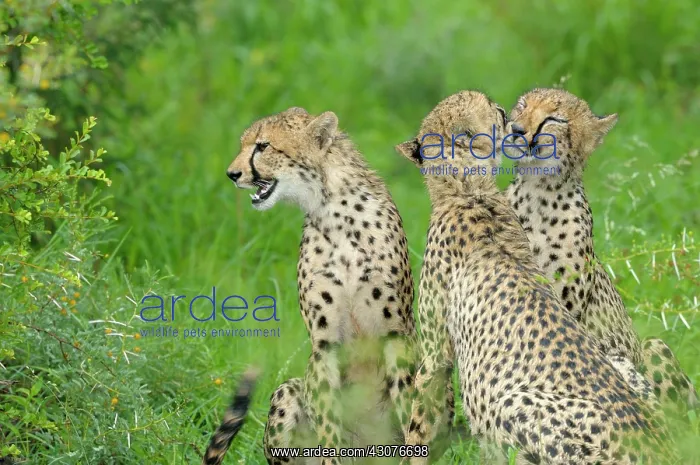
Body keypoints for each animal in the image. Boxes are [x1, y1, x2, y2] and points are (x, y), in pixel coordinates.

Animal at [208, 106, 435, 465]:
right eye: (244, 144)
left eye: (263, 146)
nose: (232, 174)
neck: (333, 210)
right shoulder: (324, 343)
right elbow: (329, 420)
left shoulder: (396, 334)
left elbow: (408, 411)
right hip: (288, 391)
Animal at [394, 90, 675, 464]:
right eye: (514, 109)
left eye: (553, 119)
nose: (513, 124)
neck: (470, 192)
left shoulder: (435, 354)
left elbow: (423, 424)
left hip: (514, 404)